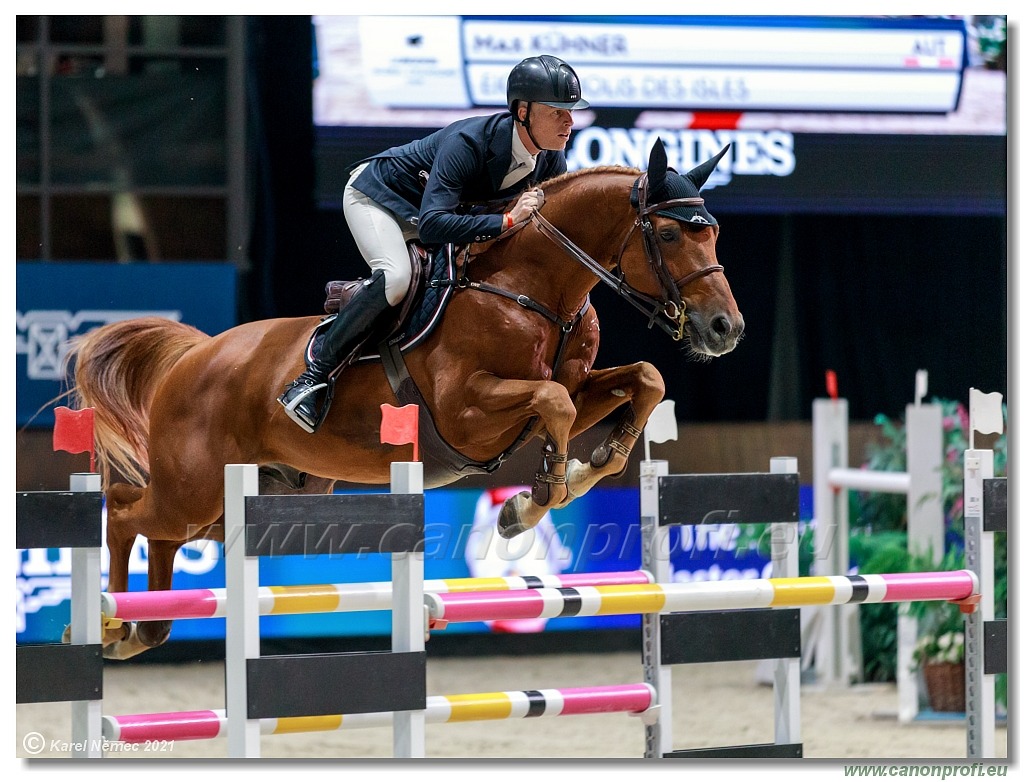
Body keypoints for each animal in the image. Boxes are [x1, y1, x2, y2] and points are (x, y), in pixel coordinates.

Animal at [68, 140, 749, 659]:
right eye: (668, 232)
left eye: (714, 234)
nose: (725, 329)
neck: (531, 286)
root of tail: (195, 356)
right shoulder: (467, 412)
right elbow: (554, 401)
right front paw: (530, 503)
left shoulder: (574, 392)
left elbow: (643, 380)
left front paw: (585, 468)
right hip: (195, 488)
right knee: (126, 513)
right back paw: (107, 621)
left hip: (256, 492)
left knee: (160, 540)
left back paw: (140, 629)